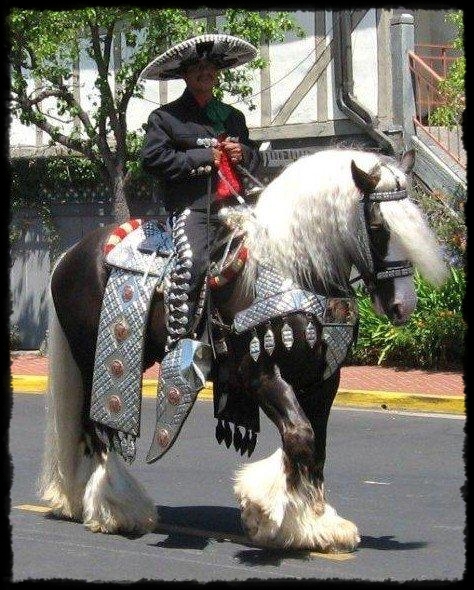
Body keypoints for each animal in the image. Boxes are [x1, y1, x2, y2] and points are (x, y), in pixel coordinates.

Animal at [39, 148, 446, 556]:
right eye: (378, 227)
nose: (403, 306)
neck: (294, 269)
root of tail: (71, 253)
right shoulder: (259, 374)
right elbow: (300, 435)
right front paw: (280, 517)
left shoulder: (323, 379)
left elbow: (315, 443)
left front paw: (313, 523)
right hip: (93, 360)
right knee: (96, 427)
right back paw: (112, 509)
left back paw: (82, 501)